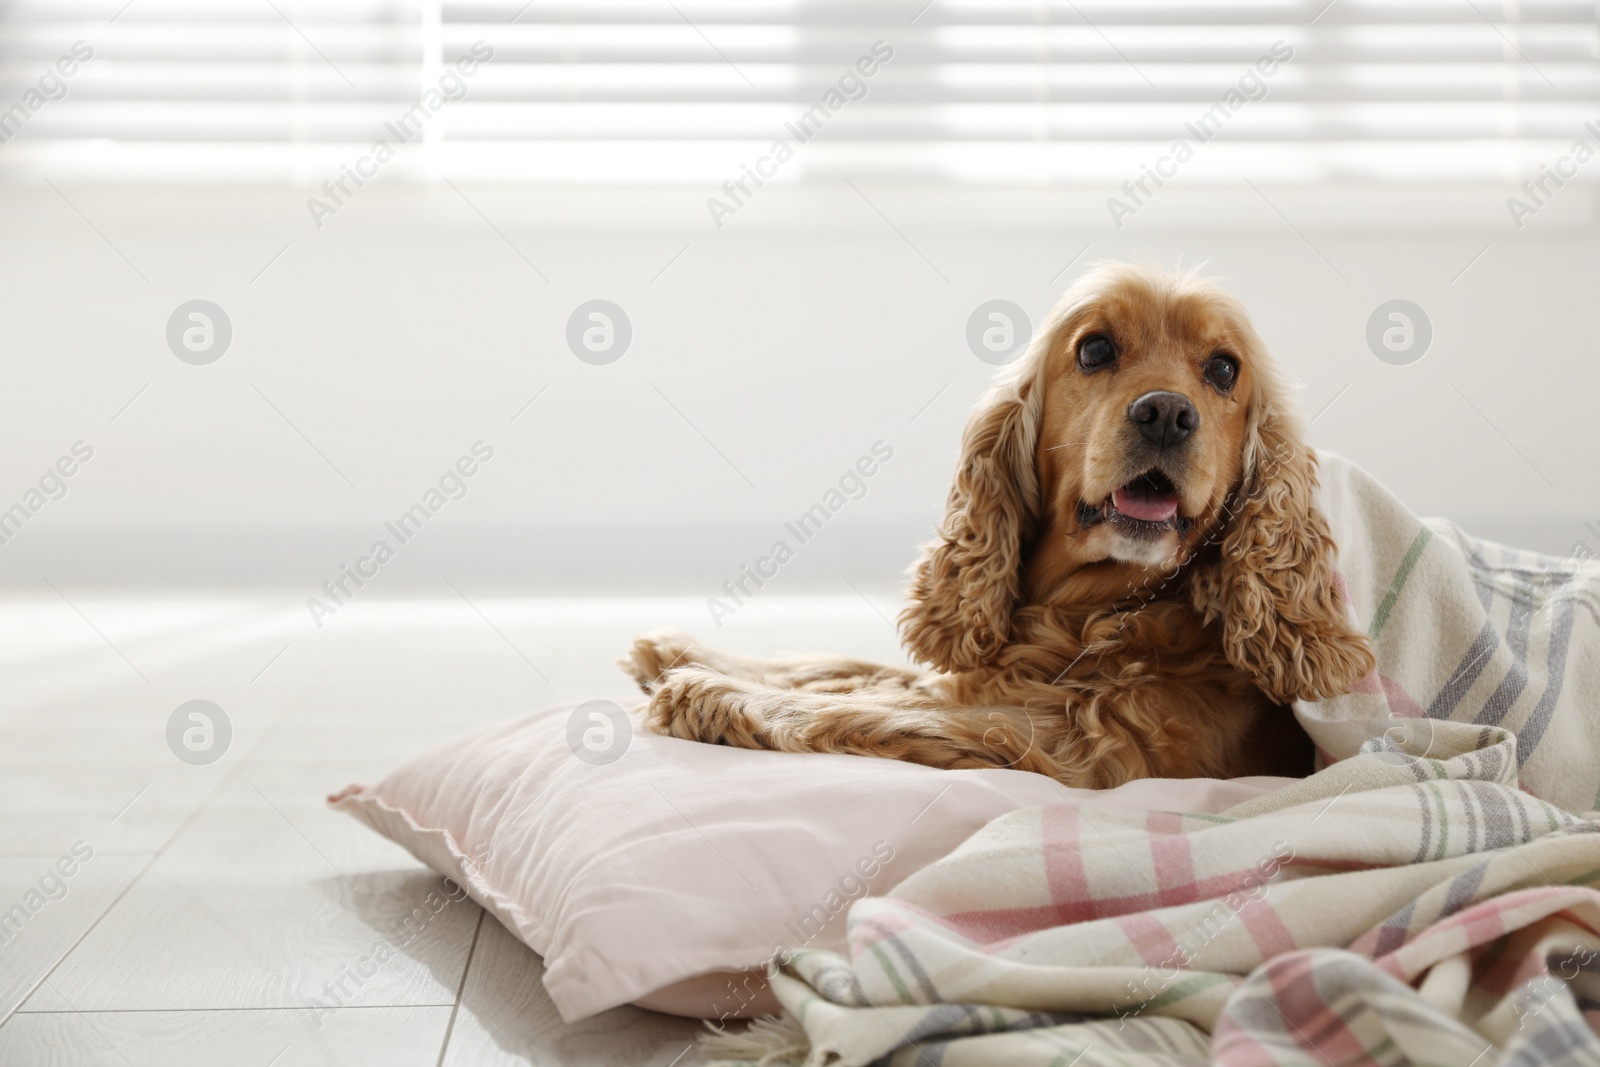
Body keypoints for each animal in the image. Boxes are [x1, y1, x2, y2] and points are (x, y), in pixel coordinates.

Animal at [624, 262, 1376, 790]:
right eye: (1095, 350)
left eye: (1223, 369)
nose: (1166, 413)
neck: (1099, 611)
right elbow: (855, 667)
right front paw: (687, 651)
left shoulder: (1104, 745)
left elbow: (895, 706)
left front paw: (712, 691)